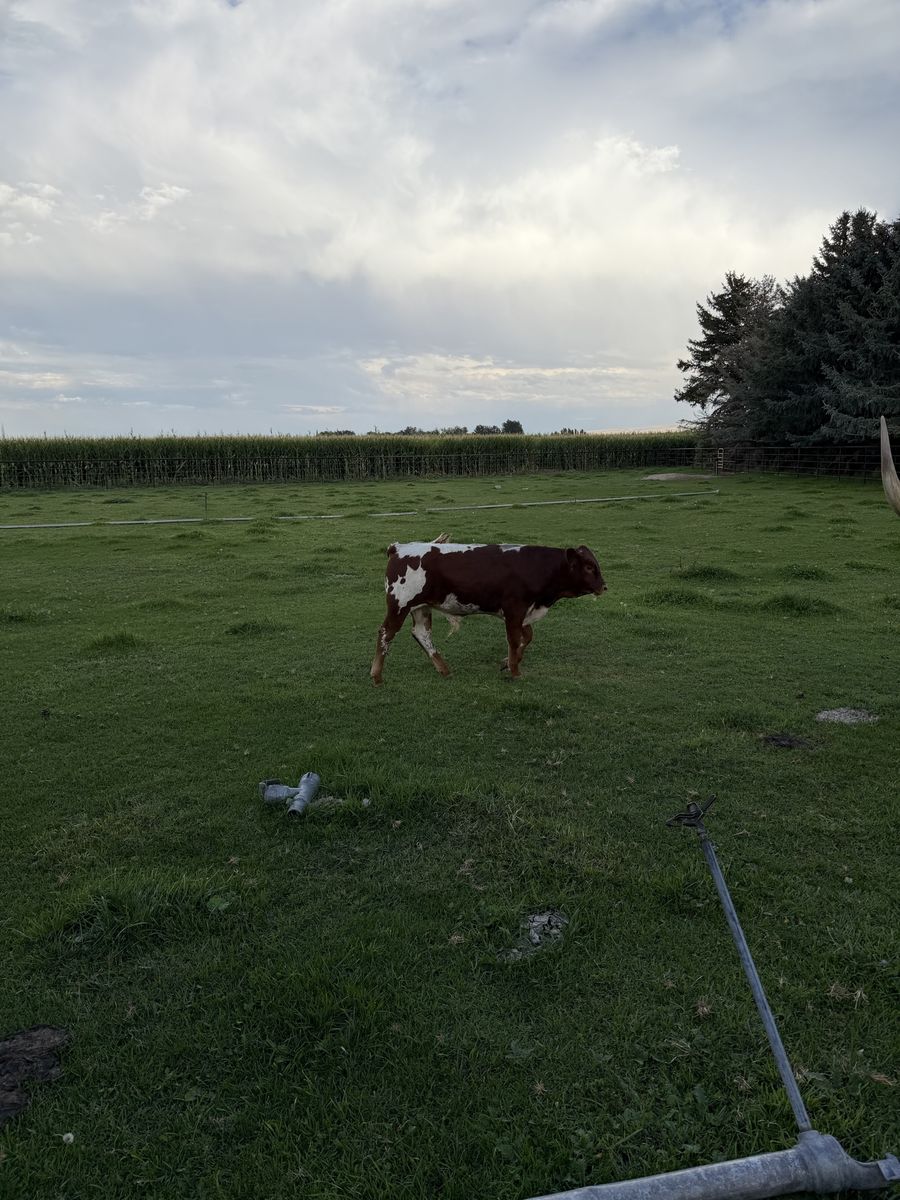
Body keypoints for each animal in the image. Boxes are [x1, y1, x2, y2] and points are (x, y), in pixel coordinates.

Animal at [370, 535, 607, 684]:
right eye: (588, 567)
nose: (604, 586)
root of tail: (399, 547)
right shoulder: (514, 609)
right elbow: (514, 639)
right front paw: (515, 671)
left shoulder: (524, 612)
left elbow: (527, 637)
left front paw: (507, 663)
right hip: (400, 605)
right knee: (386, 633)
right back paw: (377, 676)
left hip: (421, 607)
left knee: (421, 633)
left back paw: (444, 669)